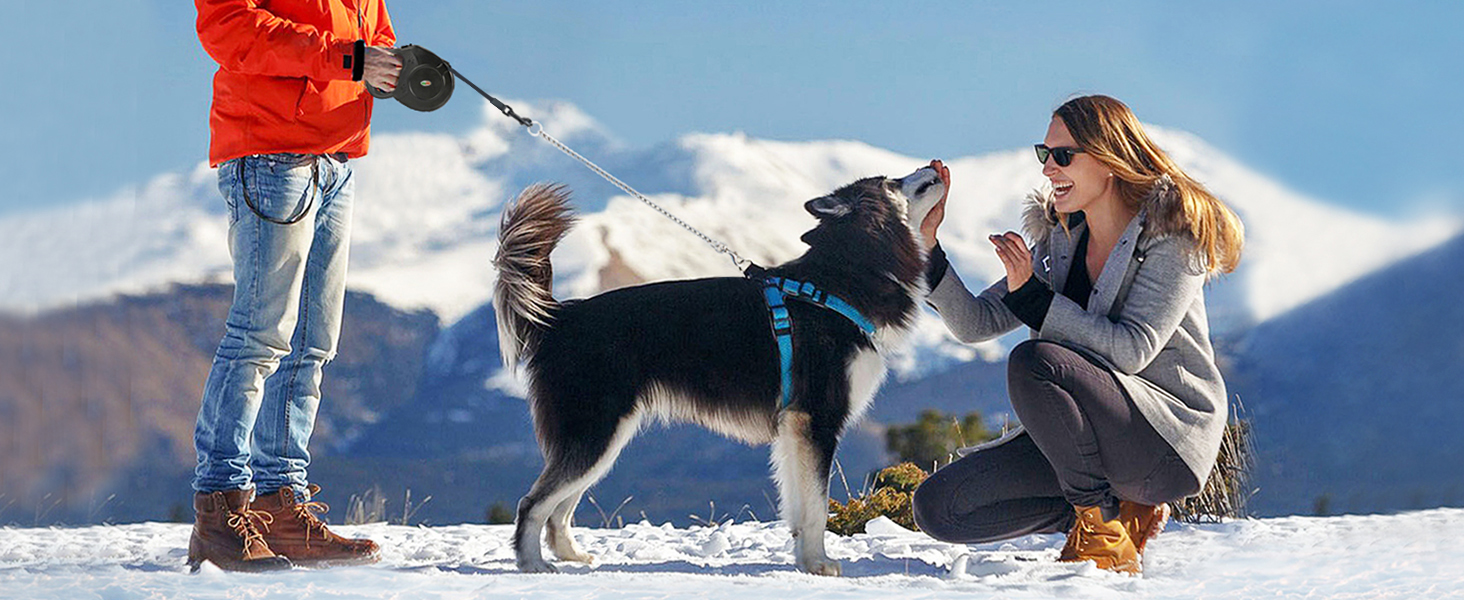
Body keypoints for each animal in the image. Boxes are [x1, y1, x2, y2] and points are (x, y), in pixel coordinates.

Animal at [491, 161, 948, 573]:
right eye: (891, 180)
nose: (933, 166)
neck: (844, 280)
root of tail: (560, 316)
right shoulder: (816, 419)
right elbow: (817, 506)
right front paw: (819, 564)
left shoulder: (793, 429)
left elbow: (800, 507)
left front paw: (804, 560)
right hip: (595, 433)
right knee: (532, 504)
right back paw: (533, 565)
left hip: (604, 438)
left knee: (559, 507)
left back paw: (571, 556)